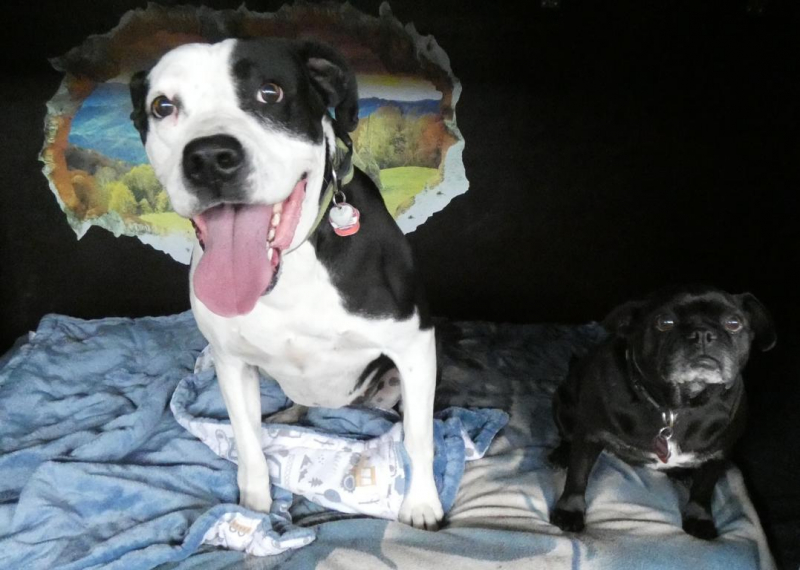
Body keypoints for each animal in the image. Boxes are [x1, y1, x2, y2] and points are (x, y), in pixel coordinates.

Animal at [129, 38, 443, 530]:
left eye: (270, 93)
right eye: (163, 106)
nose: (209, 158)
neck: (292, 266)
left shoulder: (414, 346)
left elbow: (417, 437)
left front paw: (421, 504)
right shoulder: (231, 363)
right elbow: (248, 442)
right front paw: (254, 509)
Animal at [549, 285, 775, 539]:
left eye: (734, 323)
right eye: (664, 322)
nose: (703, 334)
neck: (675, 407)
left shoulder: (719, 453)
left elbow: (704, 489)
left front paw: (699, 518)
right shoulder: (590, 434)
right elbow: (577, 477)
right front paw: (569, 511)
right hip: (564, 406)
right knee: (567, 436)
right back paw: (561, 454)